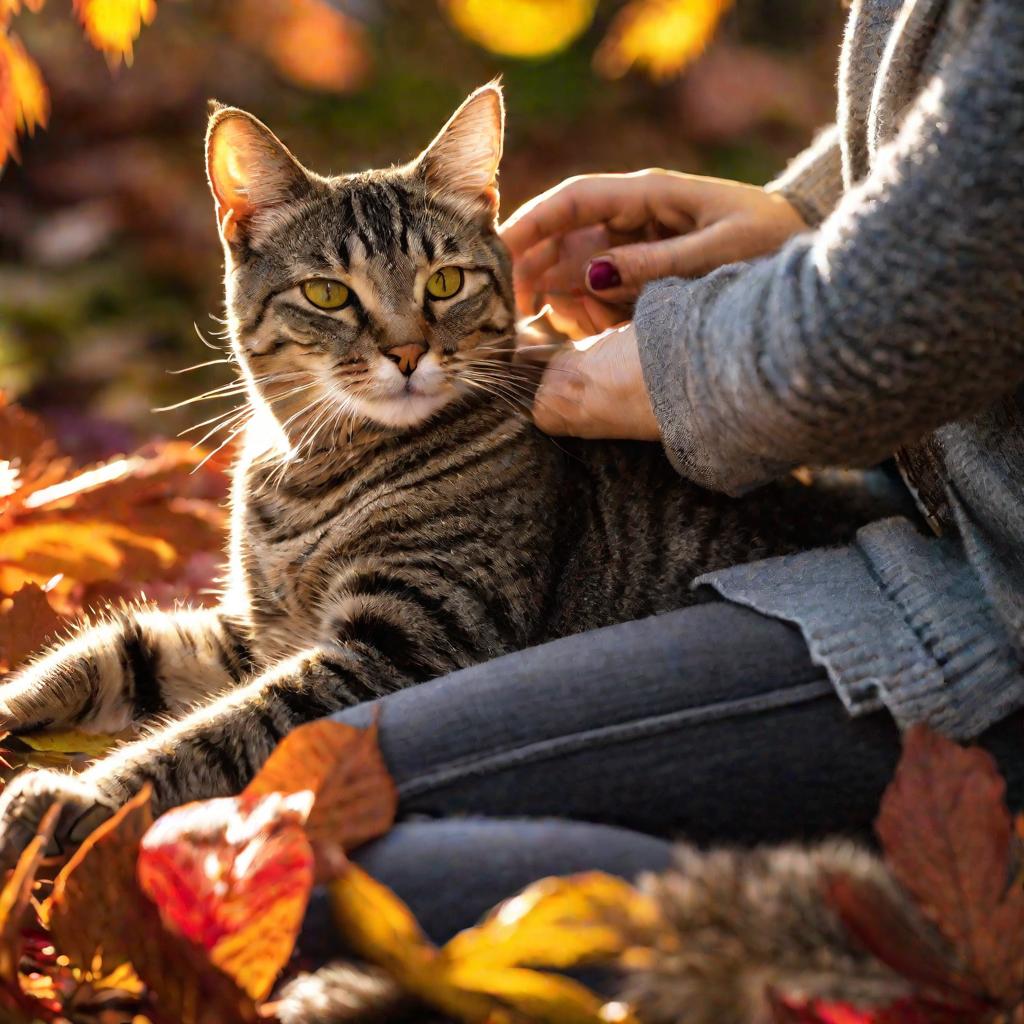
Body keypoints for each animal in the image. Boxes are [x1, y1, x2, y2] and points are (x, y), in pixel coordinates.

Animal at [0, 86, 860, 864]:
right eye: (328, 294)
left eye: (444, 282)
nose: (408, 352)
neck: (315, 468)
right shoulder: (257, 629)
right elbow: (105, 652)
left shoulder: (401, 642)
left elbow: (216, 733)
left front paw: (72, 793)